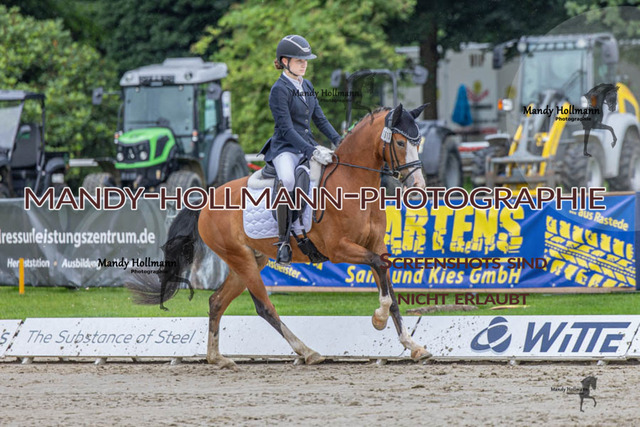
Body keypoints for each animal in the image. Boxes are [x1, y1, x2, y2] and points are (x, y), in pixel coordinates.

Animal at [128, 103, 432, 369]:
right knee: (264, 307)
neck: (351, 183)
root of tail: (206, 200)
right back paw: (307, 352)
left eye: (419, 142)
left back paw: (217, 358)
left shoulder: (376, 245)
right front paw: (378, 319)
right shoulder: (339, 249)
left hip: (249, 261)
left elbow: (389, 285)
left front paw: (413, 345)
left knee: (216, 302)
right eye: (401, 143)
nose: (418, 186)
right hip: (242, 261)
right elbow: (380, 272)